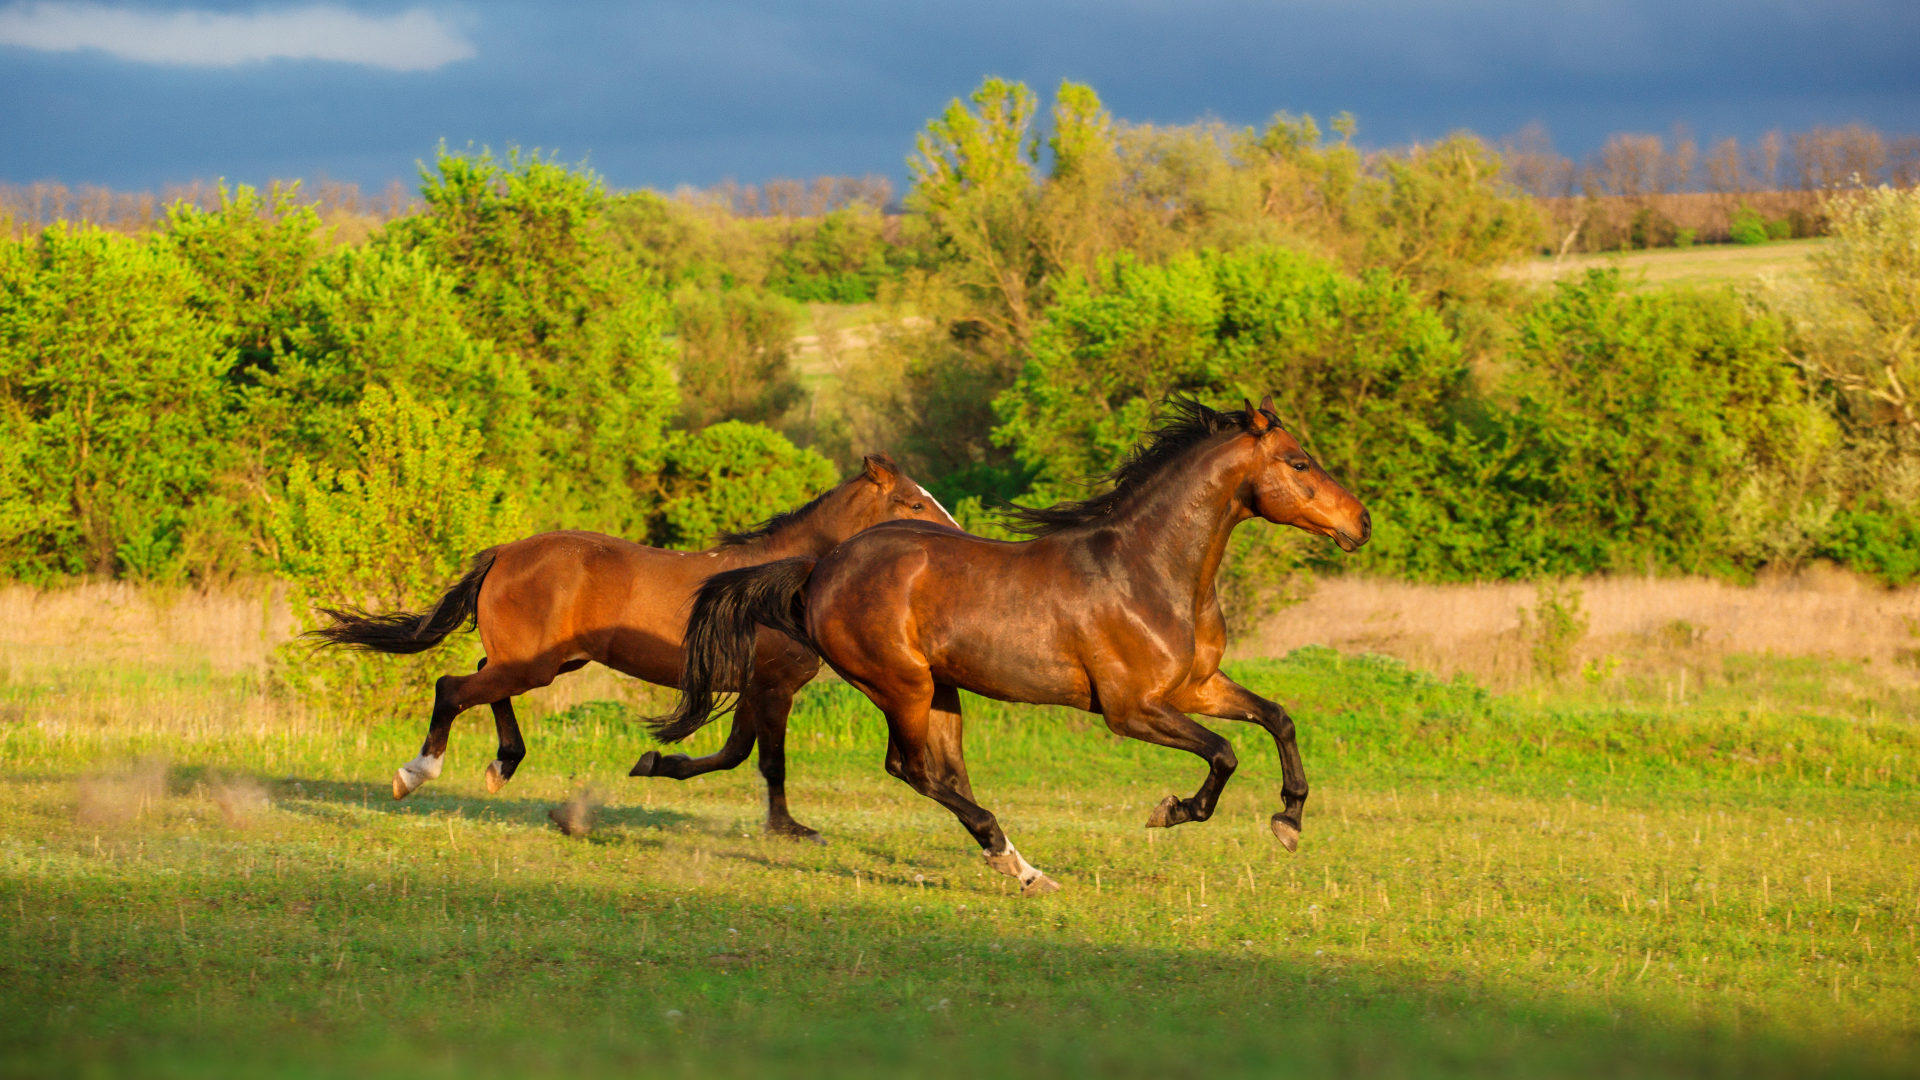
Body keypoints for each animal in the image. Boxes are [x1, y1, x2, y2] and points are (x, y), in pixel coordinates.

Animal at [311, 449, 960, 837]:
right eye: (912, 501)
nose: (957, 540)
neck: (779, 581)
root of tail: (504, 553)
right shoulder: (774, 686)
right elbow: (768, 761)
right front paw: (789, 829)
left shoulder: (752, 688)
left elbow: (734, 754)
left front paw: (654, 764)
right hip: (532, 665)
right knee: (453, 687)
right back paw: (416, 774)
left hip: (546, 663)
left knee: (481, 680)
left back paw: (503, 765)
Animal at [652, 399, 1374, 887]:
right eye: (1299, 461)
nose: (1362, 523)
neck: (1148, 571)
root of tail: (821, 568)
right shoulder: (1131, 710)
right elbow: (1223, 753)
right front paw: (1171, 811)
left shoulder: (1196, 687)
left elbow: (1277, 719)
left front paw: (1289, 822)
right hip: (902, 685)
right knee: (912, 769)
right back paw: (1011, 860)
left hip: (941, 690)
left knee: (943, 773)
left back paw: (1020, 865)